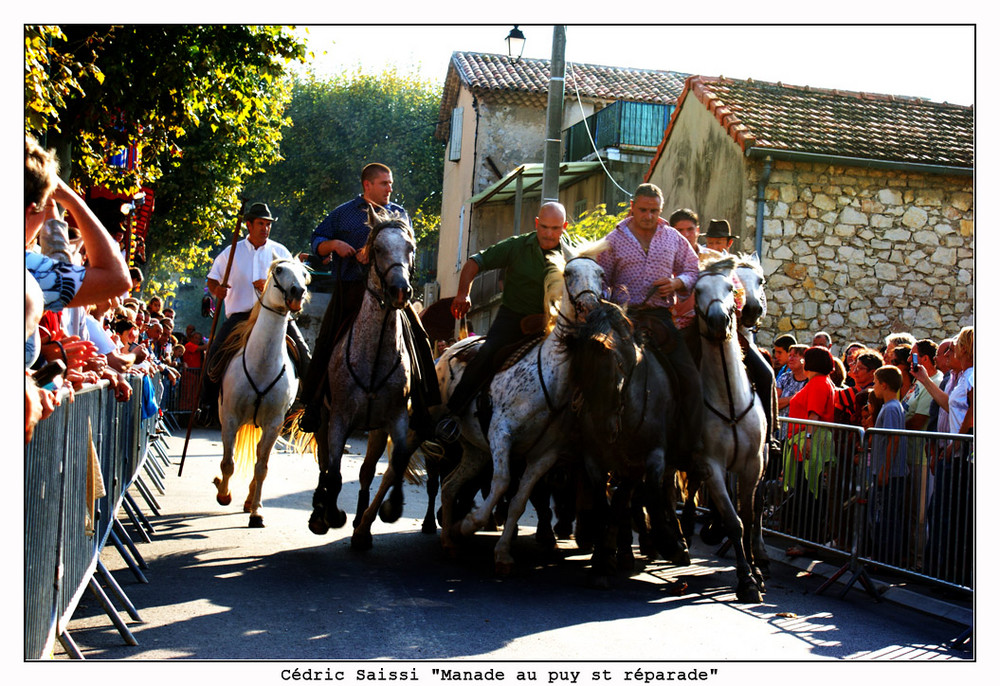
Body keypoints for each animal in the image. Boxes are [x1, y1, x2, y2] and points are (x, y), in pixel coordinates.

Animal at [215, 258, 312, 528]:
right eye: (279, 270)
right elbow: (228, 463)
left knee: (259, 458)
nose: (297, 293)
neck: (262, 365)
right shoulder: (230, 418)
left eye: (304, 274)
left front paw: (257, 511)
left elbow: (262, 467)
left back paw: (249, 501)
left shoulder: (273, 424)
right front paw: (224, 494)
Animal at [436, 245, 604, 576]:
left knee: (449, 488)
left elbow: (518, 501)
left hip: (475, 452)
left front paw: (502, 553)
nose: (589, 308)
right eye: (568, 273)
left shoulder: (544, 456)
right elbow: (501, 484)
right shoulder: (502, 435)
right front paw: (469, 524)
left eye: (602, 275)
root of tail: (453, 346)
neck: (548, 379)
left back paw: (449, 541)